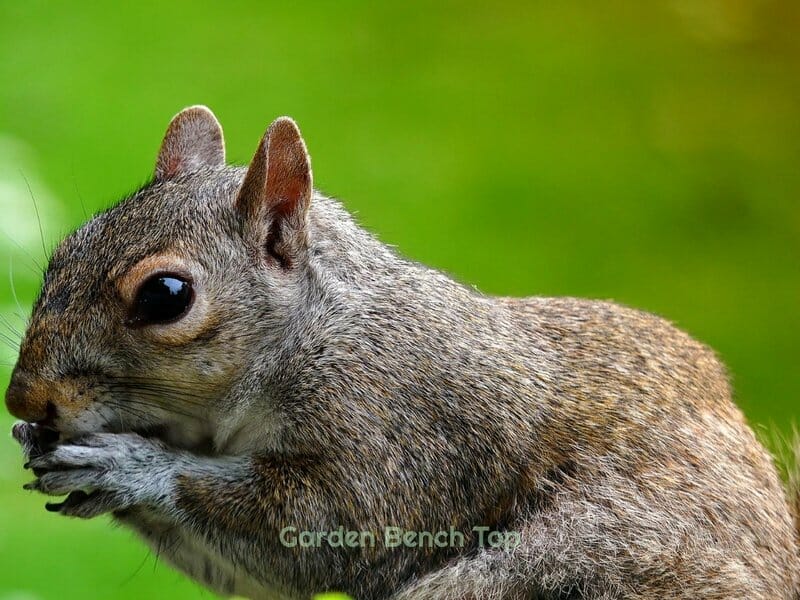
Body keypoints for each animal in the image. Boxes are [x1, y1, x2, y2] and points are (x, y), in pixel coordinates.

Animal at [5, 105, 800, 599]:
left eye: (167, 295)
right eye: (63, 252)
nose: (23, 397)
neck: (319, 334)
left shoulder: (400, 434)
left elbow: (312, 528)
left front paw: (132, 466)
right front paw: (41, 444)